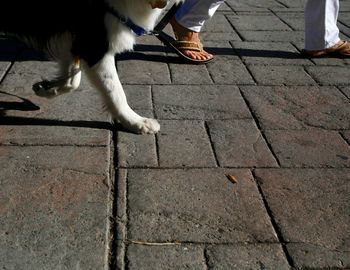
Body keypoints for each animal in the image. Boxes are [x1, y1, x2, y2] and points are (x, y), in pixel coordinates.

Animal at [0, 0, 178, 134]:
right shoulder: (94, 43)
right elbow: (115, 90)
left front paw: (47, 88)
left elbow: (72, 80)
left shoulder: (77, 38)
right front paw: (135, 122)